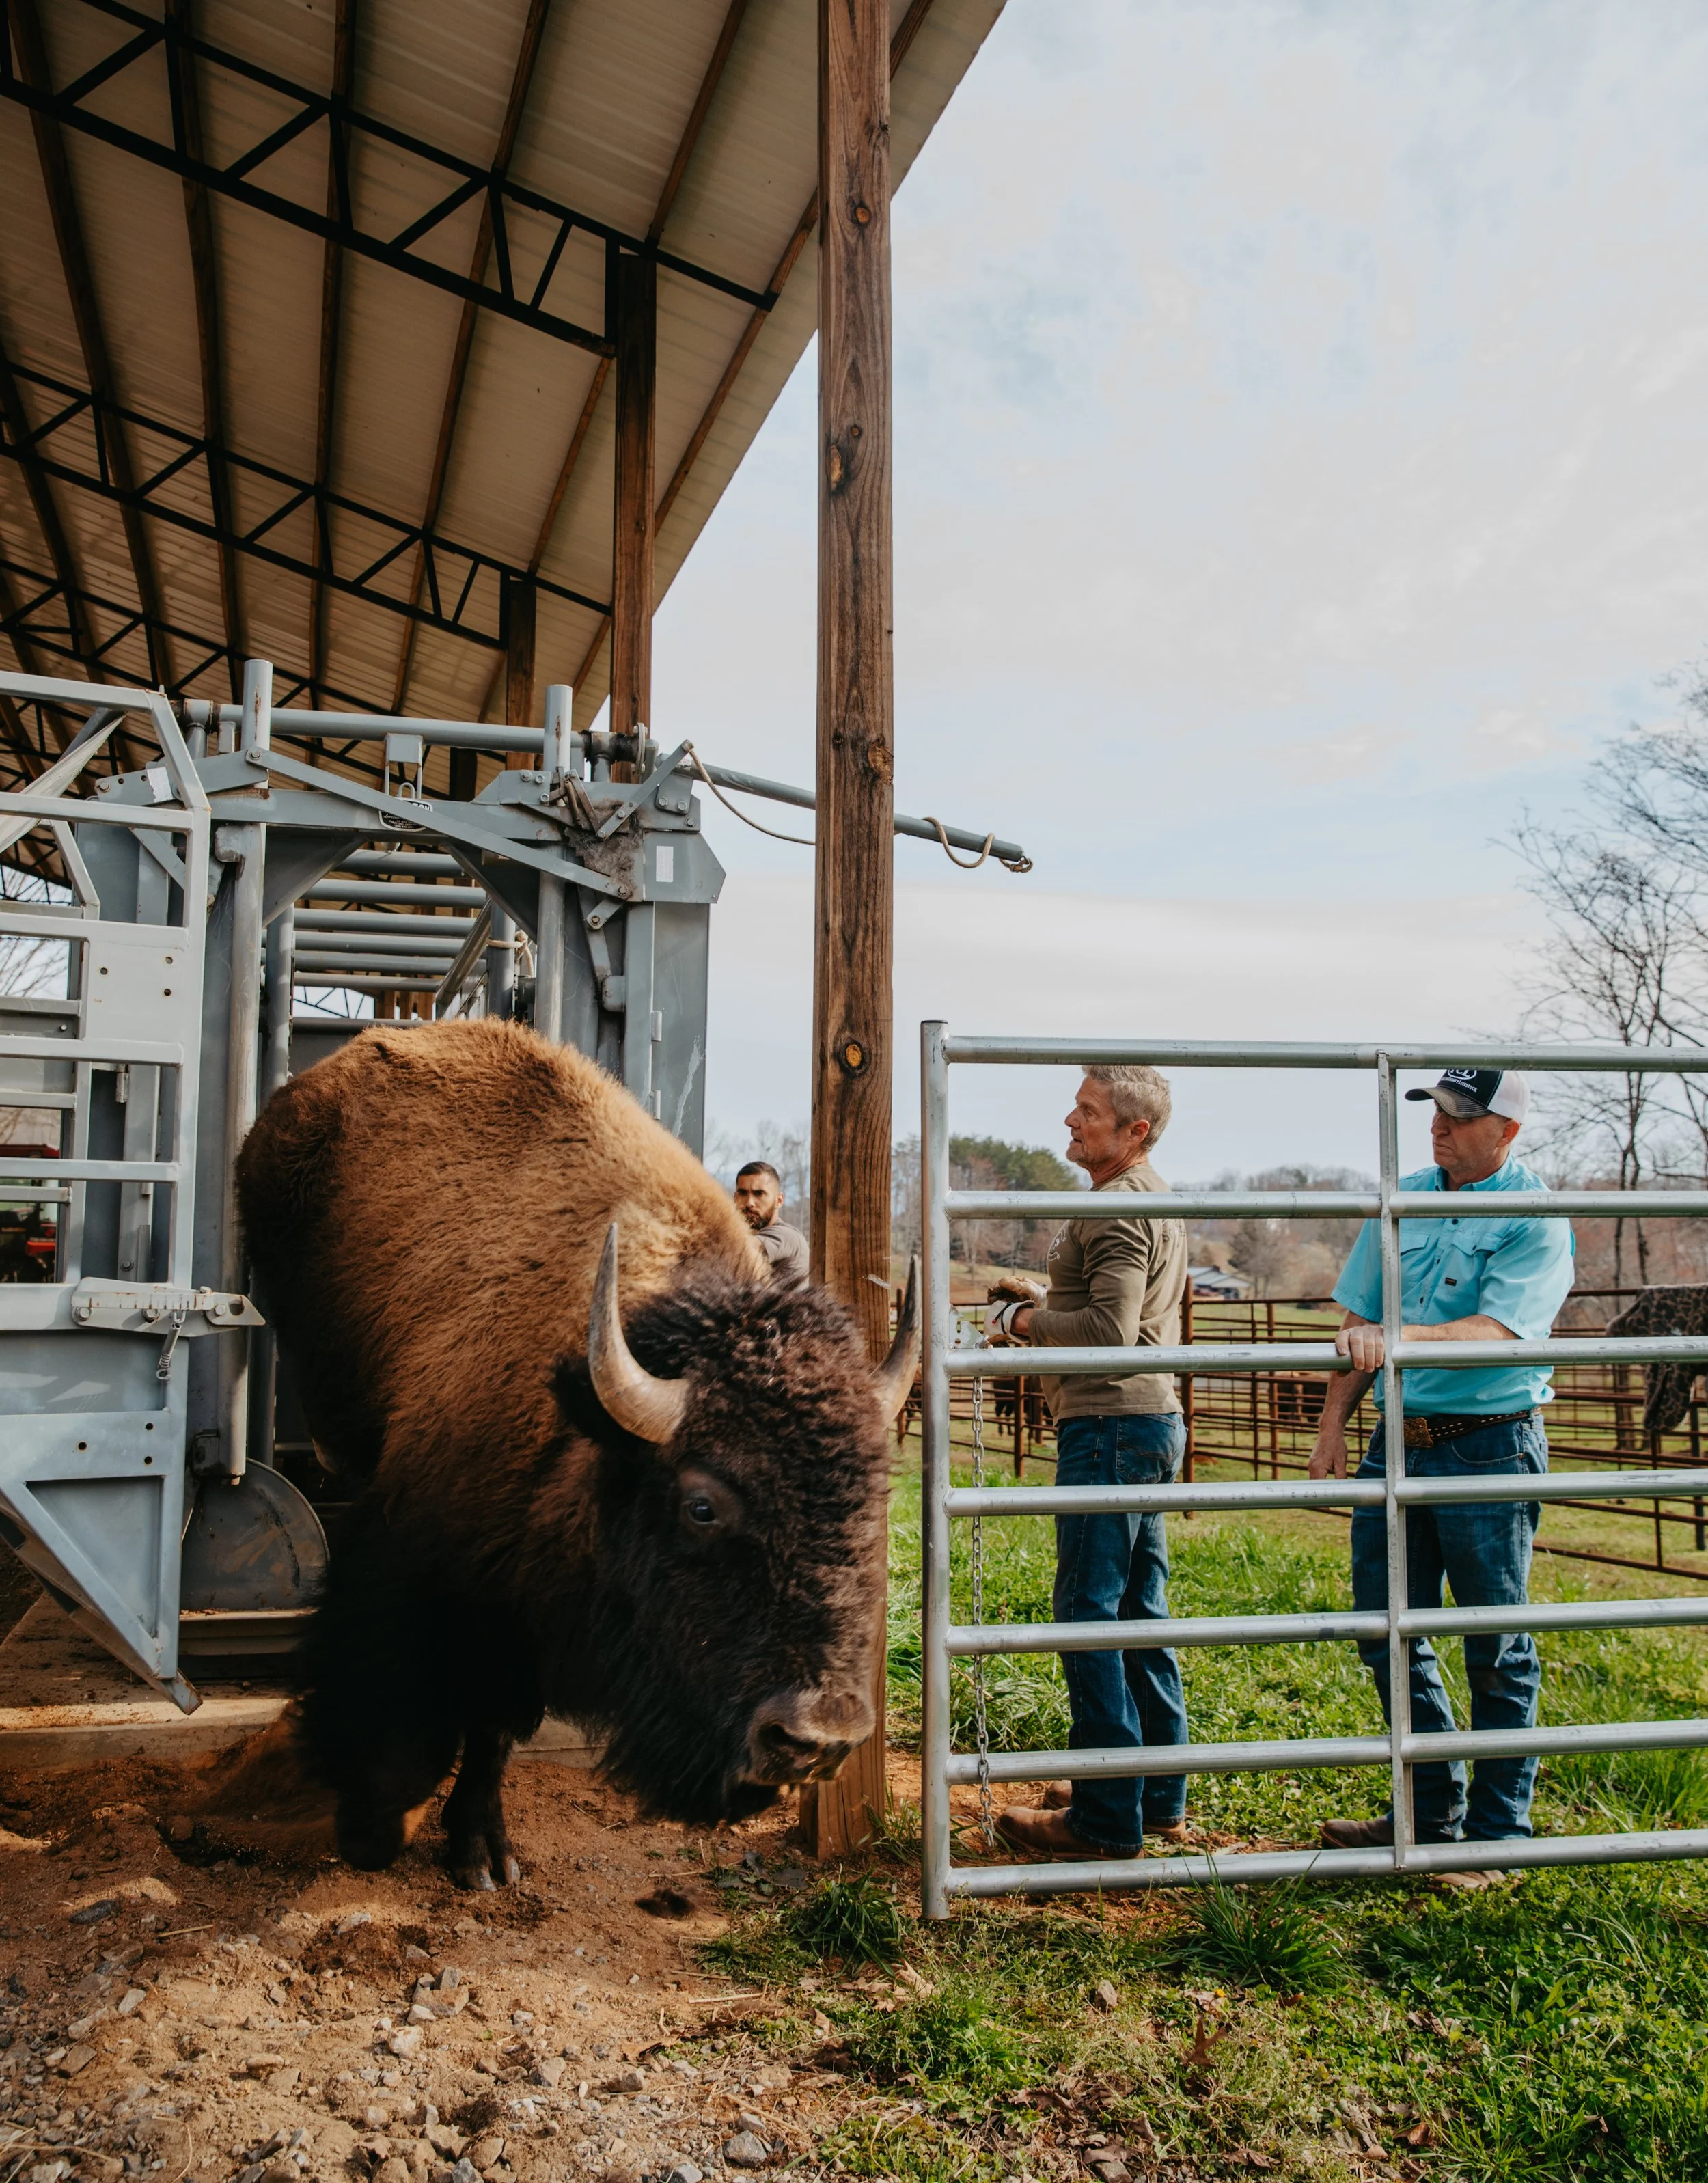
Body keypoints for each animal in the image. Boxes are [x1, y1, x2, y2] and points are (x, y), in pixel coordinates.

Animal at [233, 1019, 915, 1888]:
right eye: (701, 1506)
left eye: (874, 1505)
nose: (815, 1739)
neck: (591, 1439)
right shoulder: (420, 1567)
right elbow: (402, 1723)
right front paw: (366, 1832)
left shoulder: (520, 1626)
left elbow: (491, 1732)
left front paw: (482, 1854)